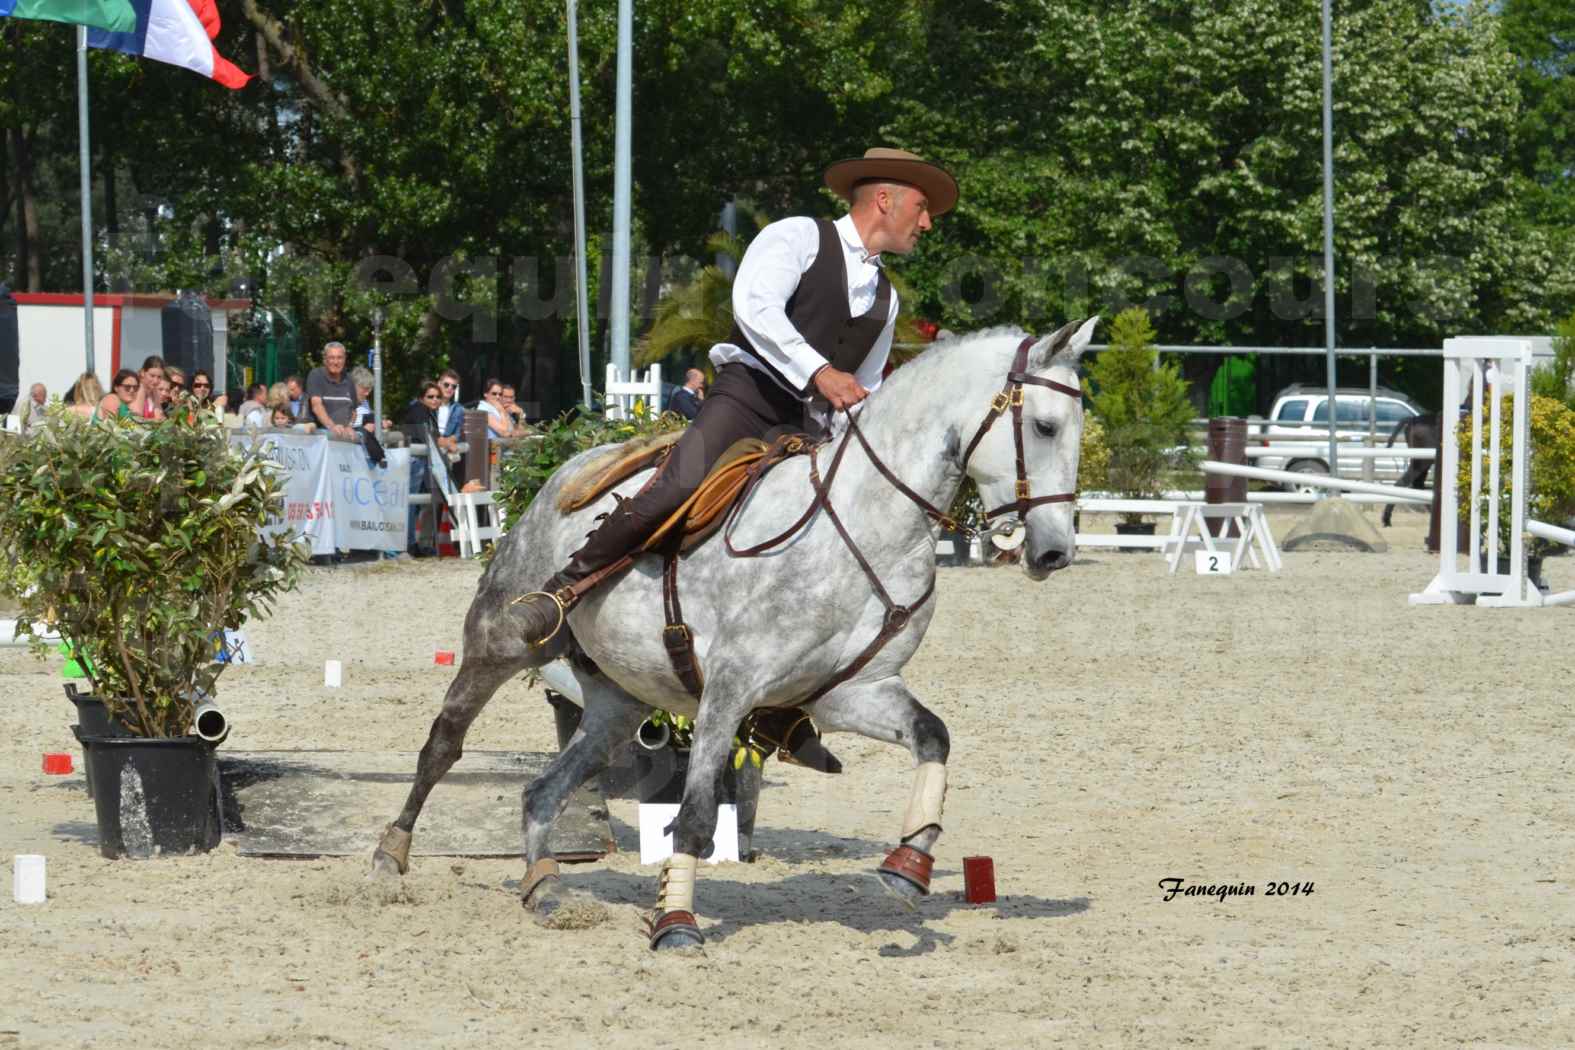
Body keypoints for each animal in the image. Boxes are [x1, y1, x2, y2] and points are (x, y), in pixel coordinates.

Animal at [374, 316, 1102, 950]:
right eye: (1043, 426)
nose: (1053, 553)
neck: (869, 525)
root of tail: (570, 468)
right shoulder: (730, 689)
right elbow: (695, 819)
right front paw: (675, 924)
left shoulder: (852, 691)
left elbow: (933, 738)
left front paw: (909, 863)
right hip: (500, 642)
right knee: (442, 746)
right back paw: (390, 856)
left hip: (617, 704)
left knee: (543, 789)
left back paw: (544, 888)